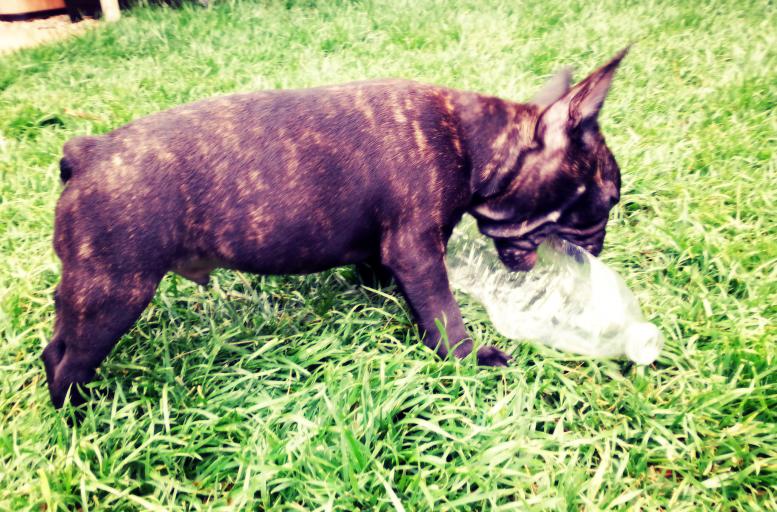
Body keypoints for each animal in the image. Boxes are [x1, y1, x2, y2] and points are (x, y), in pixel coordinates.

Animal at [42, 48, 628, 408]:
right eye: (603, 204)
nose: (599, 247)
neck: (474, 140)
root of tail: (89, 153)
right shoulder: (418, 249)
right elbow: (442, 312)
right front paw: (468, 358)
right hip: (115, 291)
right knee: (67, 359)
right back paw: (82, 412)